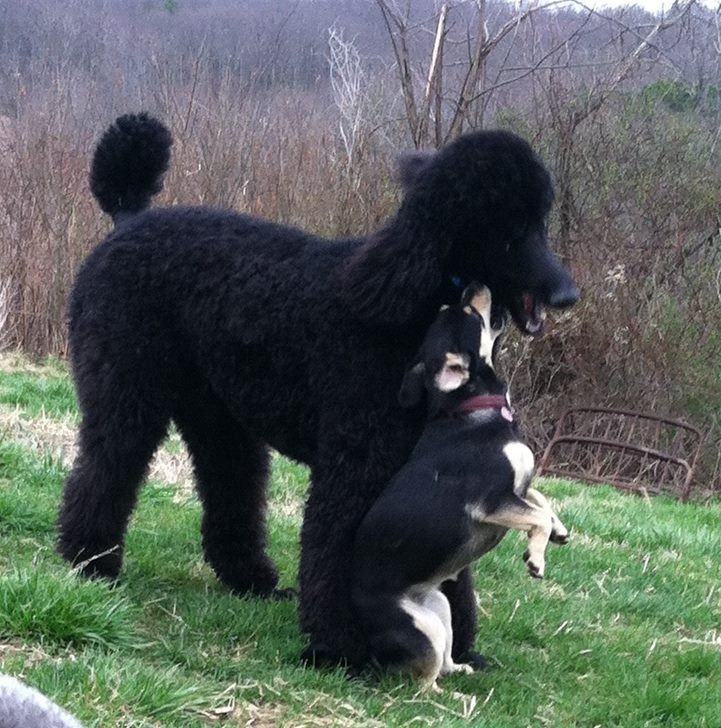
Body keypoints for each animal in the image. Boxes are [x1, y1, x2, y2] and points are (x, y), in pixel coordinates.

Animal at [352, 284, 569, 687]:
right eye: (469, 313)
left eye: (448, 308)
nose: (473, 286)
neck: (471, 407)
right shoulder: (492, 500)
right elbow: (536, 515)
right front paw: (536, 557)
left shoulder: (515, 488)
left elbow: (540, 500)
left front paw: (558, 530)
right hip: (421, 631)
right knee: (423, 682)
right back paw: (452, 694)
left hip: (440, 610)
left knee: (446, 661)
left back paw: (463, 670)